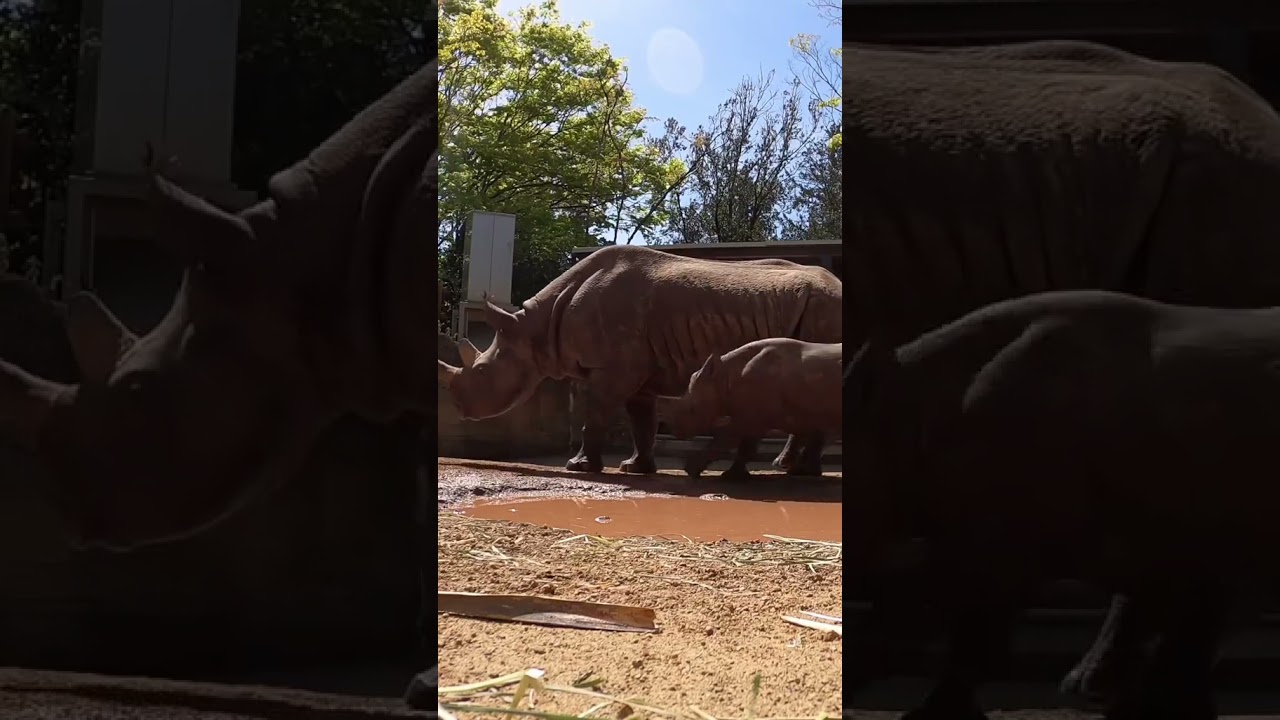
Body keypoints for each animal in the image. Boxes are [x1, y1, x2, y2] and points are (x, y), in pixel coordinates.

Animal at [655, 338, 841, 479]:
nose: (676, 431)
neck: (725, 377)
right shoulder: (762, 412)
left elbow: (726, 440)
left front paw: (693, 470)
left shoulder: (752, 417)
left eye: (692, 410)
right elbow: (746, 444)